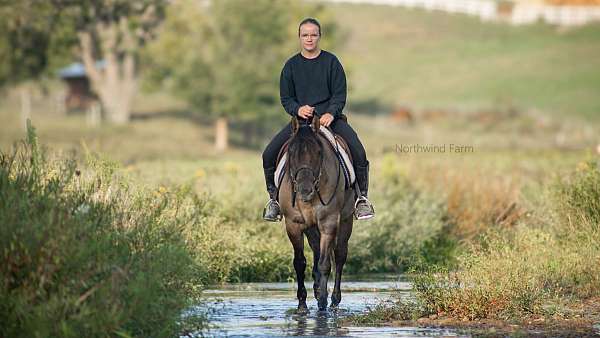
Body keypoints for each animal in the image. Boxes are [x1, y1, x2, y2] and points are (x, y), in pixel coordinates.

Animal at [278, 116, 354, 312]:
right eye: (291, 152)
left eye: (319, 152)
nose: (305, 190)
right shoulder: (294, 225)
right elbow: (300, 263)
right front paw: (302, 303)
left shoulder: (329, 223)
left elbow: (325, 263)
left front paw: (322, 302)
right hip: (311, 227)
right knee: (316, 251)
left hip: (346, 219)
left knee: (340, 255)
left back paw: (334, 299)